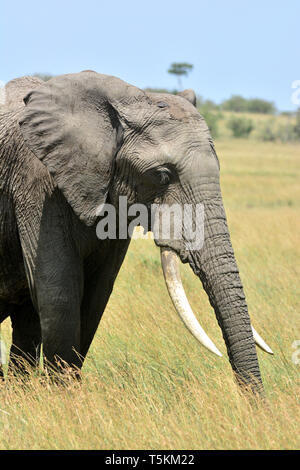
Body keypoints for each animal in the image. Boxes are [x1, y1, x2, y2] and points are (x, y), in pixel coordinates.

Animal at [0, 70, 272, 392]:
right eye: (162, 175)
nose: (258, 402)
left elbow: (96, 296)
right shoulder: (38, 184)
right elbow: (58, 294)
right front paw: (63, 399)